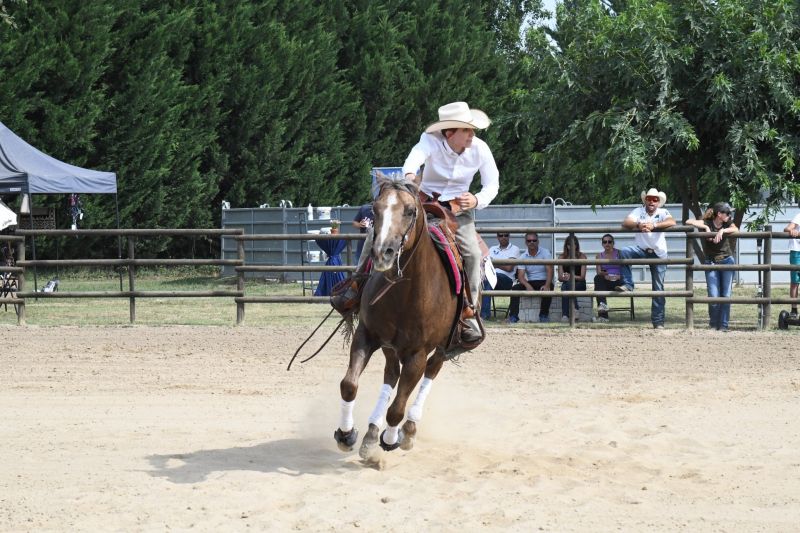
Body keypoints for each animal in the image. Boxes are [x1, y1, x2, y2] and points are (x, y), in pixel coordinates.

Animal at [332, 175, 456, 458]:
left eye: (410, 211)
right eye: (375, 209)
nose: (382, 252)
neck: (404, 293)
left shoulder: (417, 354)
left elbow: (397, 408)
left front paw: (390, 438)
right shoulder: (366, 335)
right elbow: (349, 385)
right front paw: (347, 434)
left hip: (442, 347)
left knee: (430, 373)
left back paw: (408, 429)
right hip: (390, 347)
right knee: (390, 375)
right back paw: (370, 432)